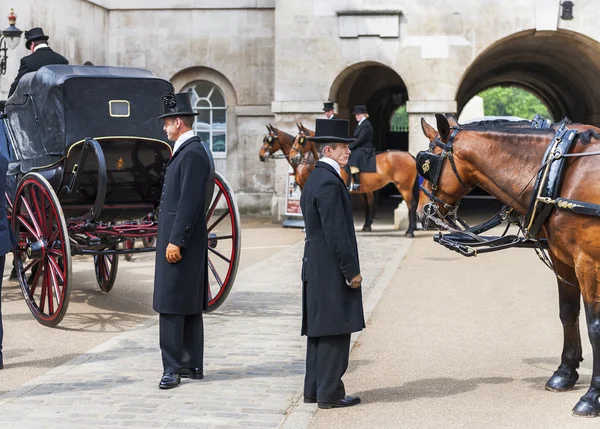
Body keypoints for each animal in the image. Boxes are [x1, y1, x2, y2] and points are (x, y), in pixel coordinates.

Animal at [290, 123, 418, 237]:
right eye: (295, 138)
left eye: (301, 140)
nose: (292, 158)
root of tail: (409, 155)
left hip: (404, 187)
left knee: (411, 205)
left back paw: (410, 232)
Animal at [418, 113, 600, 414]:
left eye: (426, 163)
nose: (423, 212)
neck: (565, 172)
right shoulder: (564, 260)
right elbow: (568, 313)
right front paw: (565, 372)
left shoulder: (589, 263)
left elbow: (594, 326)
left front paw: (592, 396)